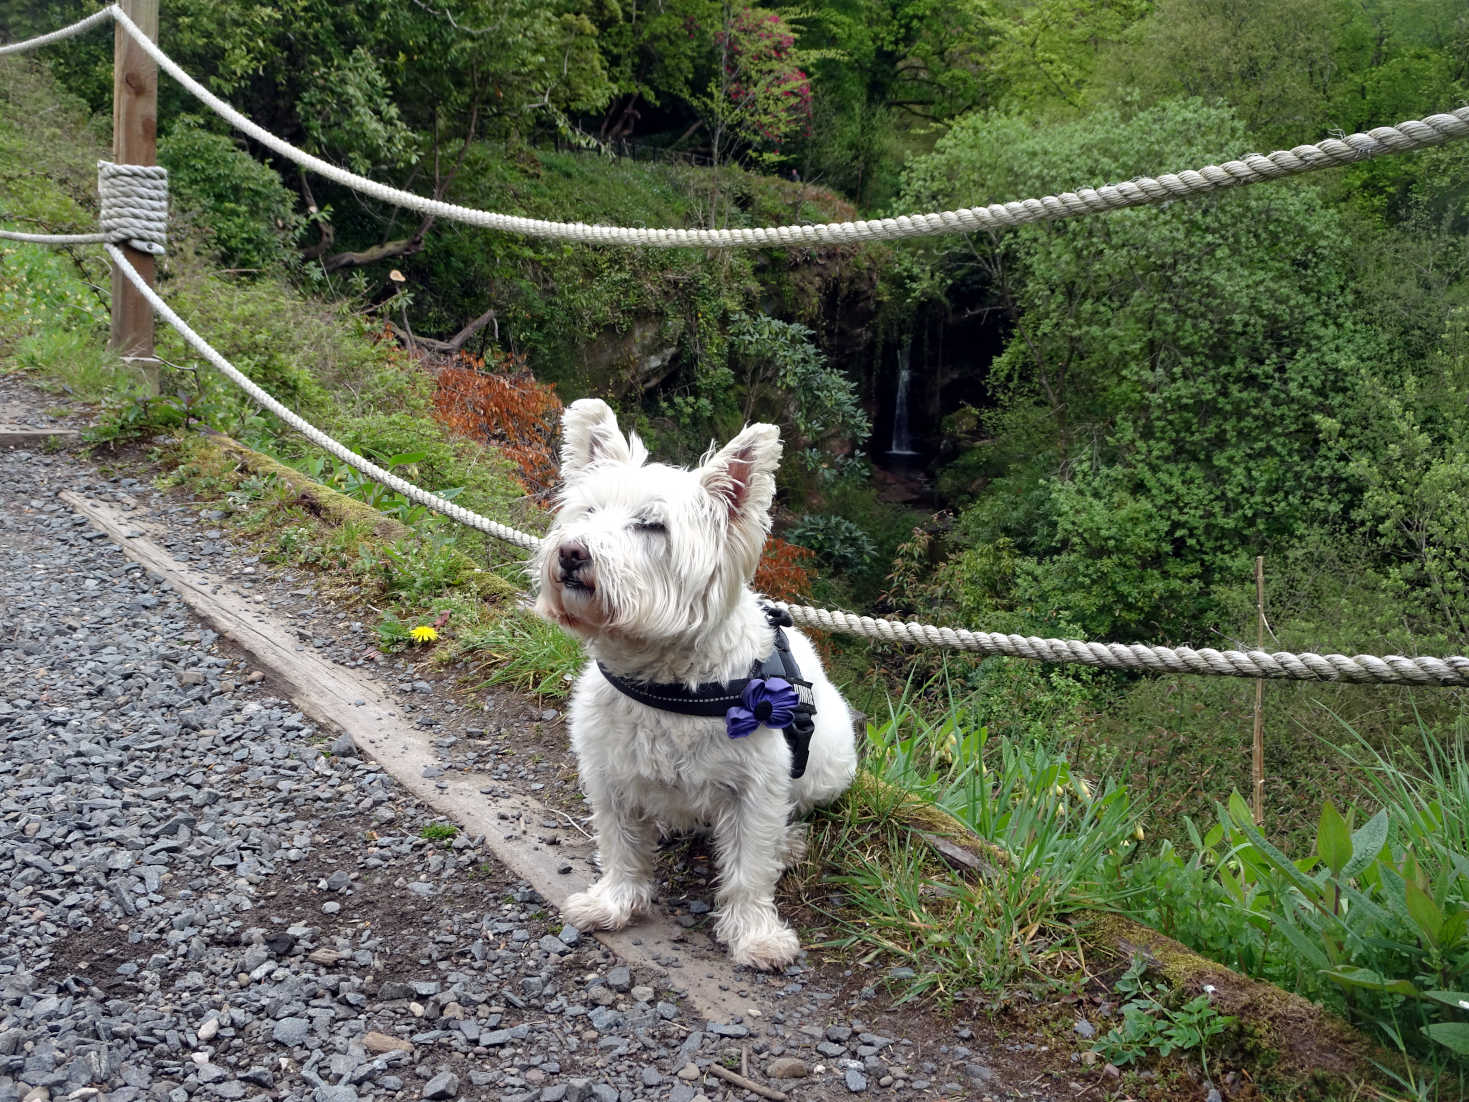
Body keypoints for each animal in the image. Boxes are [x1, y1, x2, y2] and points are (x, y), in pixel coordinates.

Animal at [537, 402, 857, 969]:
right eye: (588, 512)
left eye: (652, 526)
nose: (572, 553)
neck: (666, 683)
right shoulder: (609, 774)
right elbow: (620, 846)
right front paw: (612, 903)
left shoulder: (757, 789)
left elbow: (750, 867)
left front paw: (755, 935)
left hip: (827, 769)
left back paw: (790, 843)